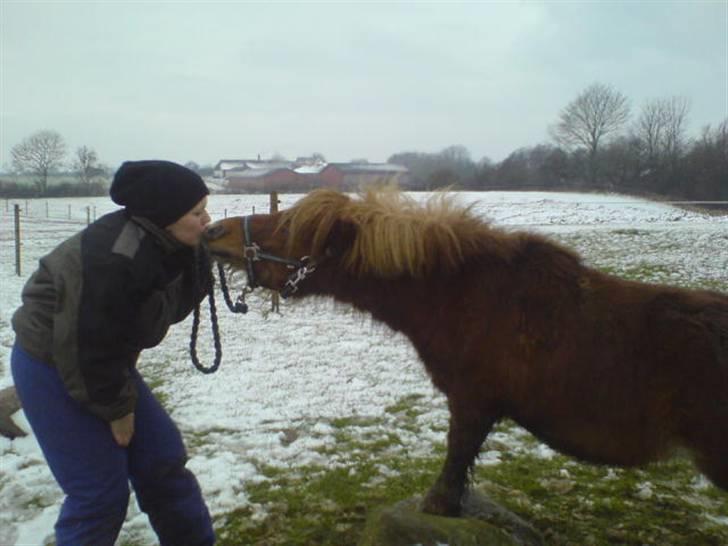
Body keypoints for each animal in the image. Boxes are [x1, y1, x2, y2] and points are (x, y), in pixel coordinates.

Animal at [203, 186, 728, 516]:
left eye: (289, 228)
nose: (211, 234)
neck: (467, 298)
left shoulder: (473, 400)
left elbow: (458, 454)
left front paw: (440, 504)